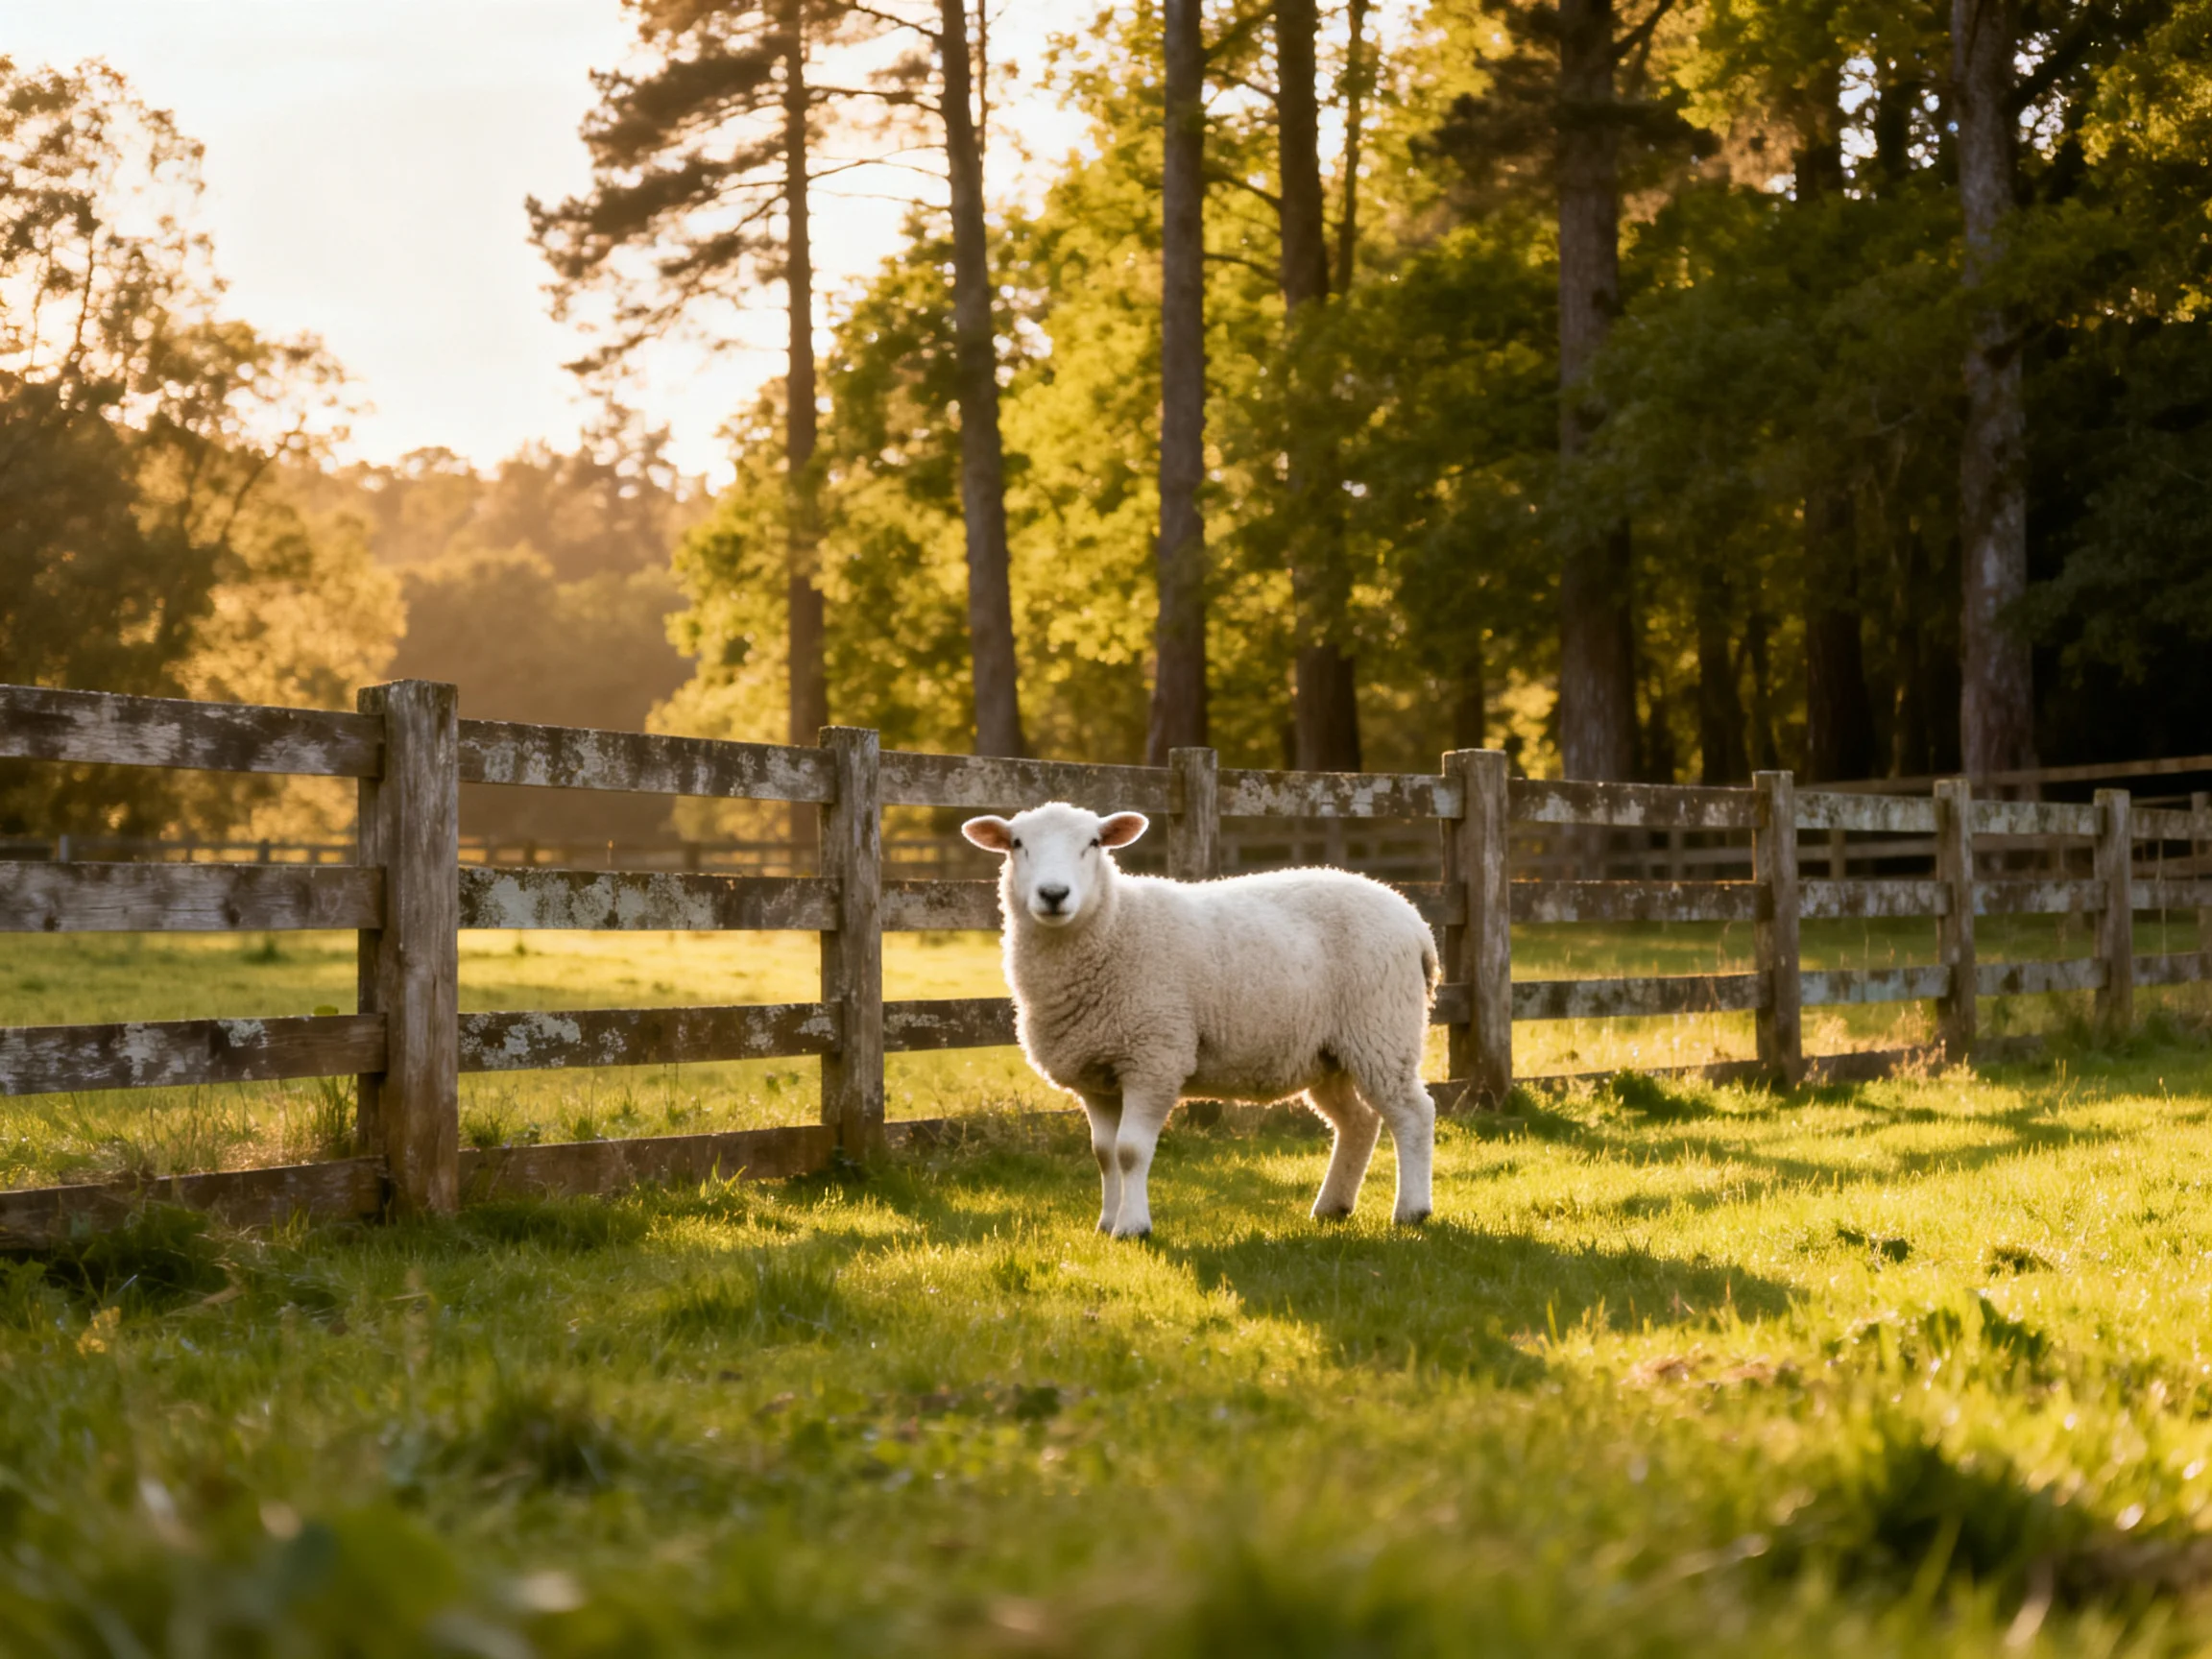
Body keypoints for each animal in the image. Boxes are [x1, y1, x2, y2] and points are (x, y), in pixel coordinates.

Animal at [961, 802, 1438, 1238]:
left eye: (1093, 843)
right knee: (1358, 1121)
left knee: (1413, 1112)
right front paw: (1106, 1224)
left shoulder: (1154, 1057)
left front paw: (1133, 1227)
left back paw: (1411, 1211)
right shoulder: (1094, 1074)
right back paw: (1331, 1207)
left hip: (1382, 1028)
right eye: (1017, 843)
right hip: (1329, 1052)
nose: (1054, 894)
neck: (1114, 926)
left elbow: (1130, 1151)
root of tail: (1414, 919)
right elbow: (1104, 1153)